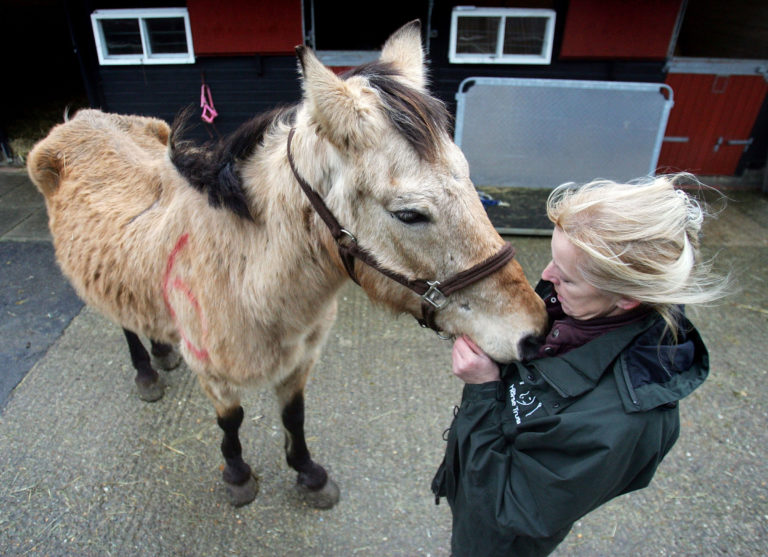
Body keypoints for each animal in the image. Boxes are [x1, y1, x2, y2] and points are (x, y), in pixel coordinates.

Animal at [26, 21, 547, 509]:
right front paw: (238, 476)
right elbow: (231, 422)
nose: (533, 332)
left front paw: (308, 474)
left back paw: (161, 351)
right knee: (123, 323)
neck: (245, 274)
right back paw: (146, 372)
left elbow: (294, 416)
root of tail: (80, 118)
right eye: (409, 214)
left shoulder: (300, 360)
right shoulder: (216, 375)